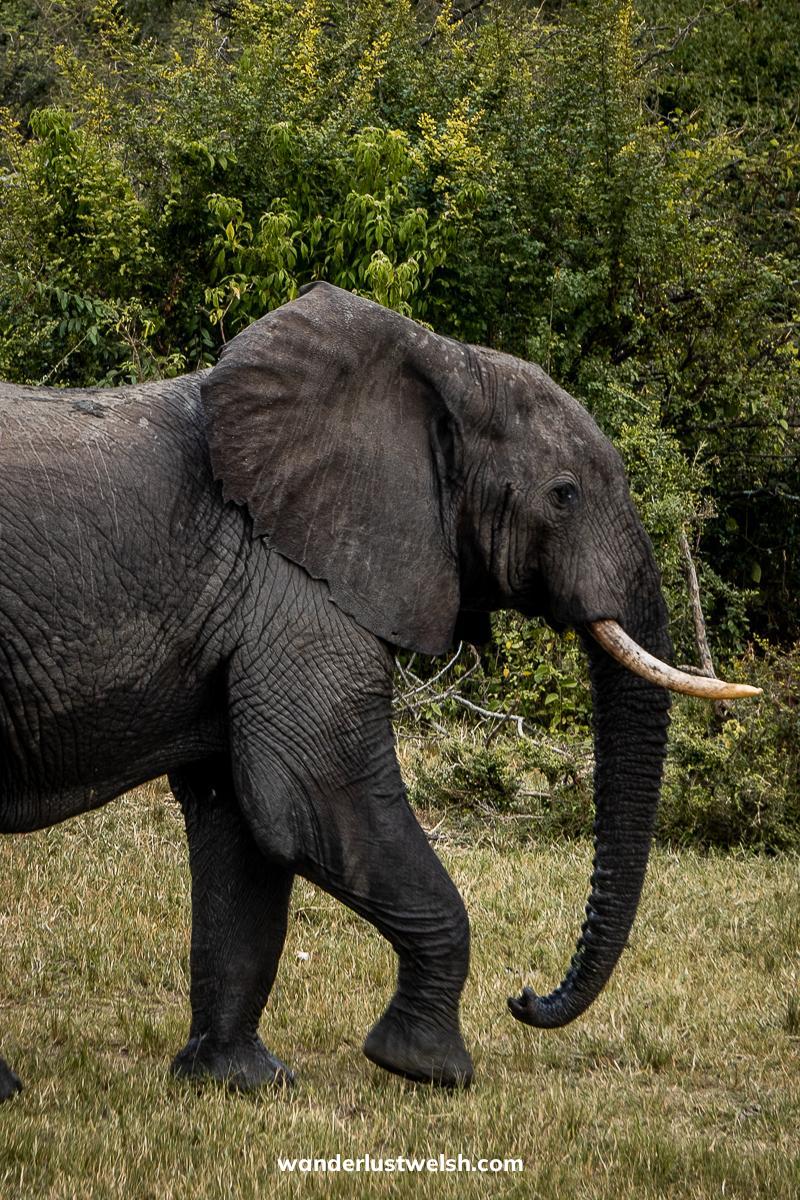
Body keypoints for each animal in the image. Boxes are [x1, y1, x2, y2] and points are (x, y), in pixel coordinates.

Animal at [0, 282, 757, 1100]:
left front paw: (242, 1084)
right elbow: (310, 795)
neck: (442, 363)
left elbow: (244, 823)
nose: (524, 997)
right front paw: (427, 1067)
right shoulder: (296, 588)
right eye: (564, 495)